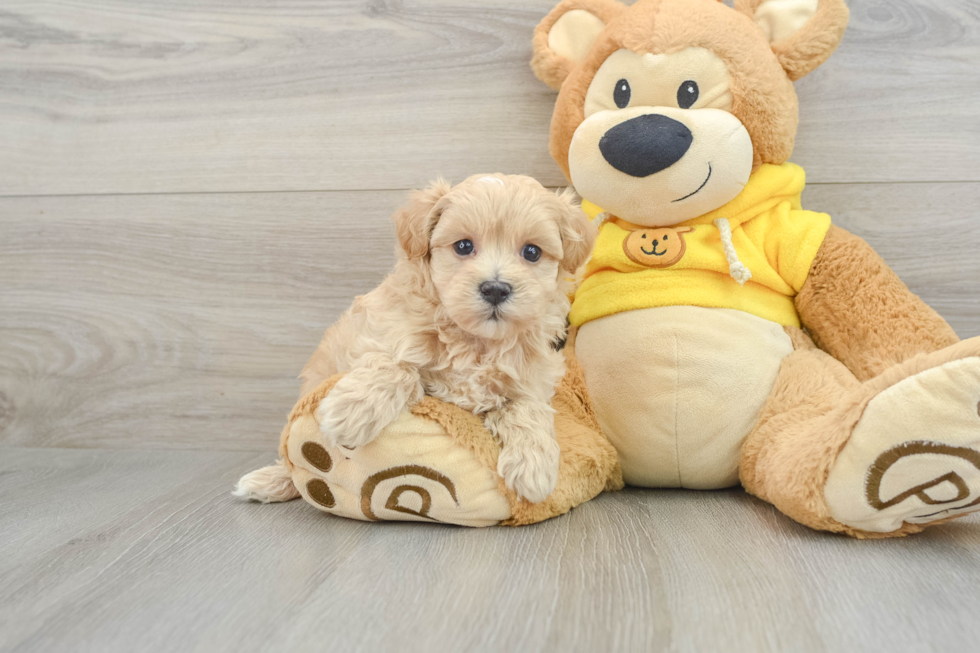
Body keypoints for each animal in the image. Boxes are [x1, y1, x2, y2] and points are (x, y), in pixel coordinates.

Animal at [234, 174, 592, 504]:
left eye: (532, 252)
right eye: (463, 246)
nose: (495, 289)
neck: (475, 341)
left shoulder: (533, 378)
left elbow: (529, 408)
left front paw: (535, 468)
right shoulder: (376, 338)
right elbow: (396, 367)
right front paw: (351, 412)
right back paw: (271, 479)